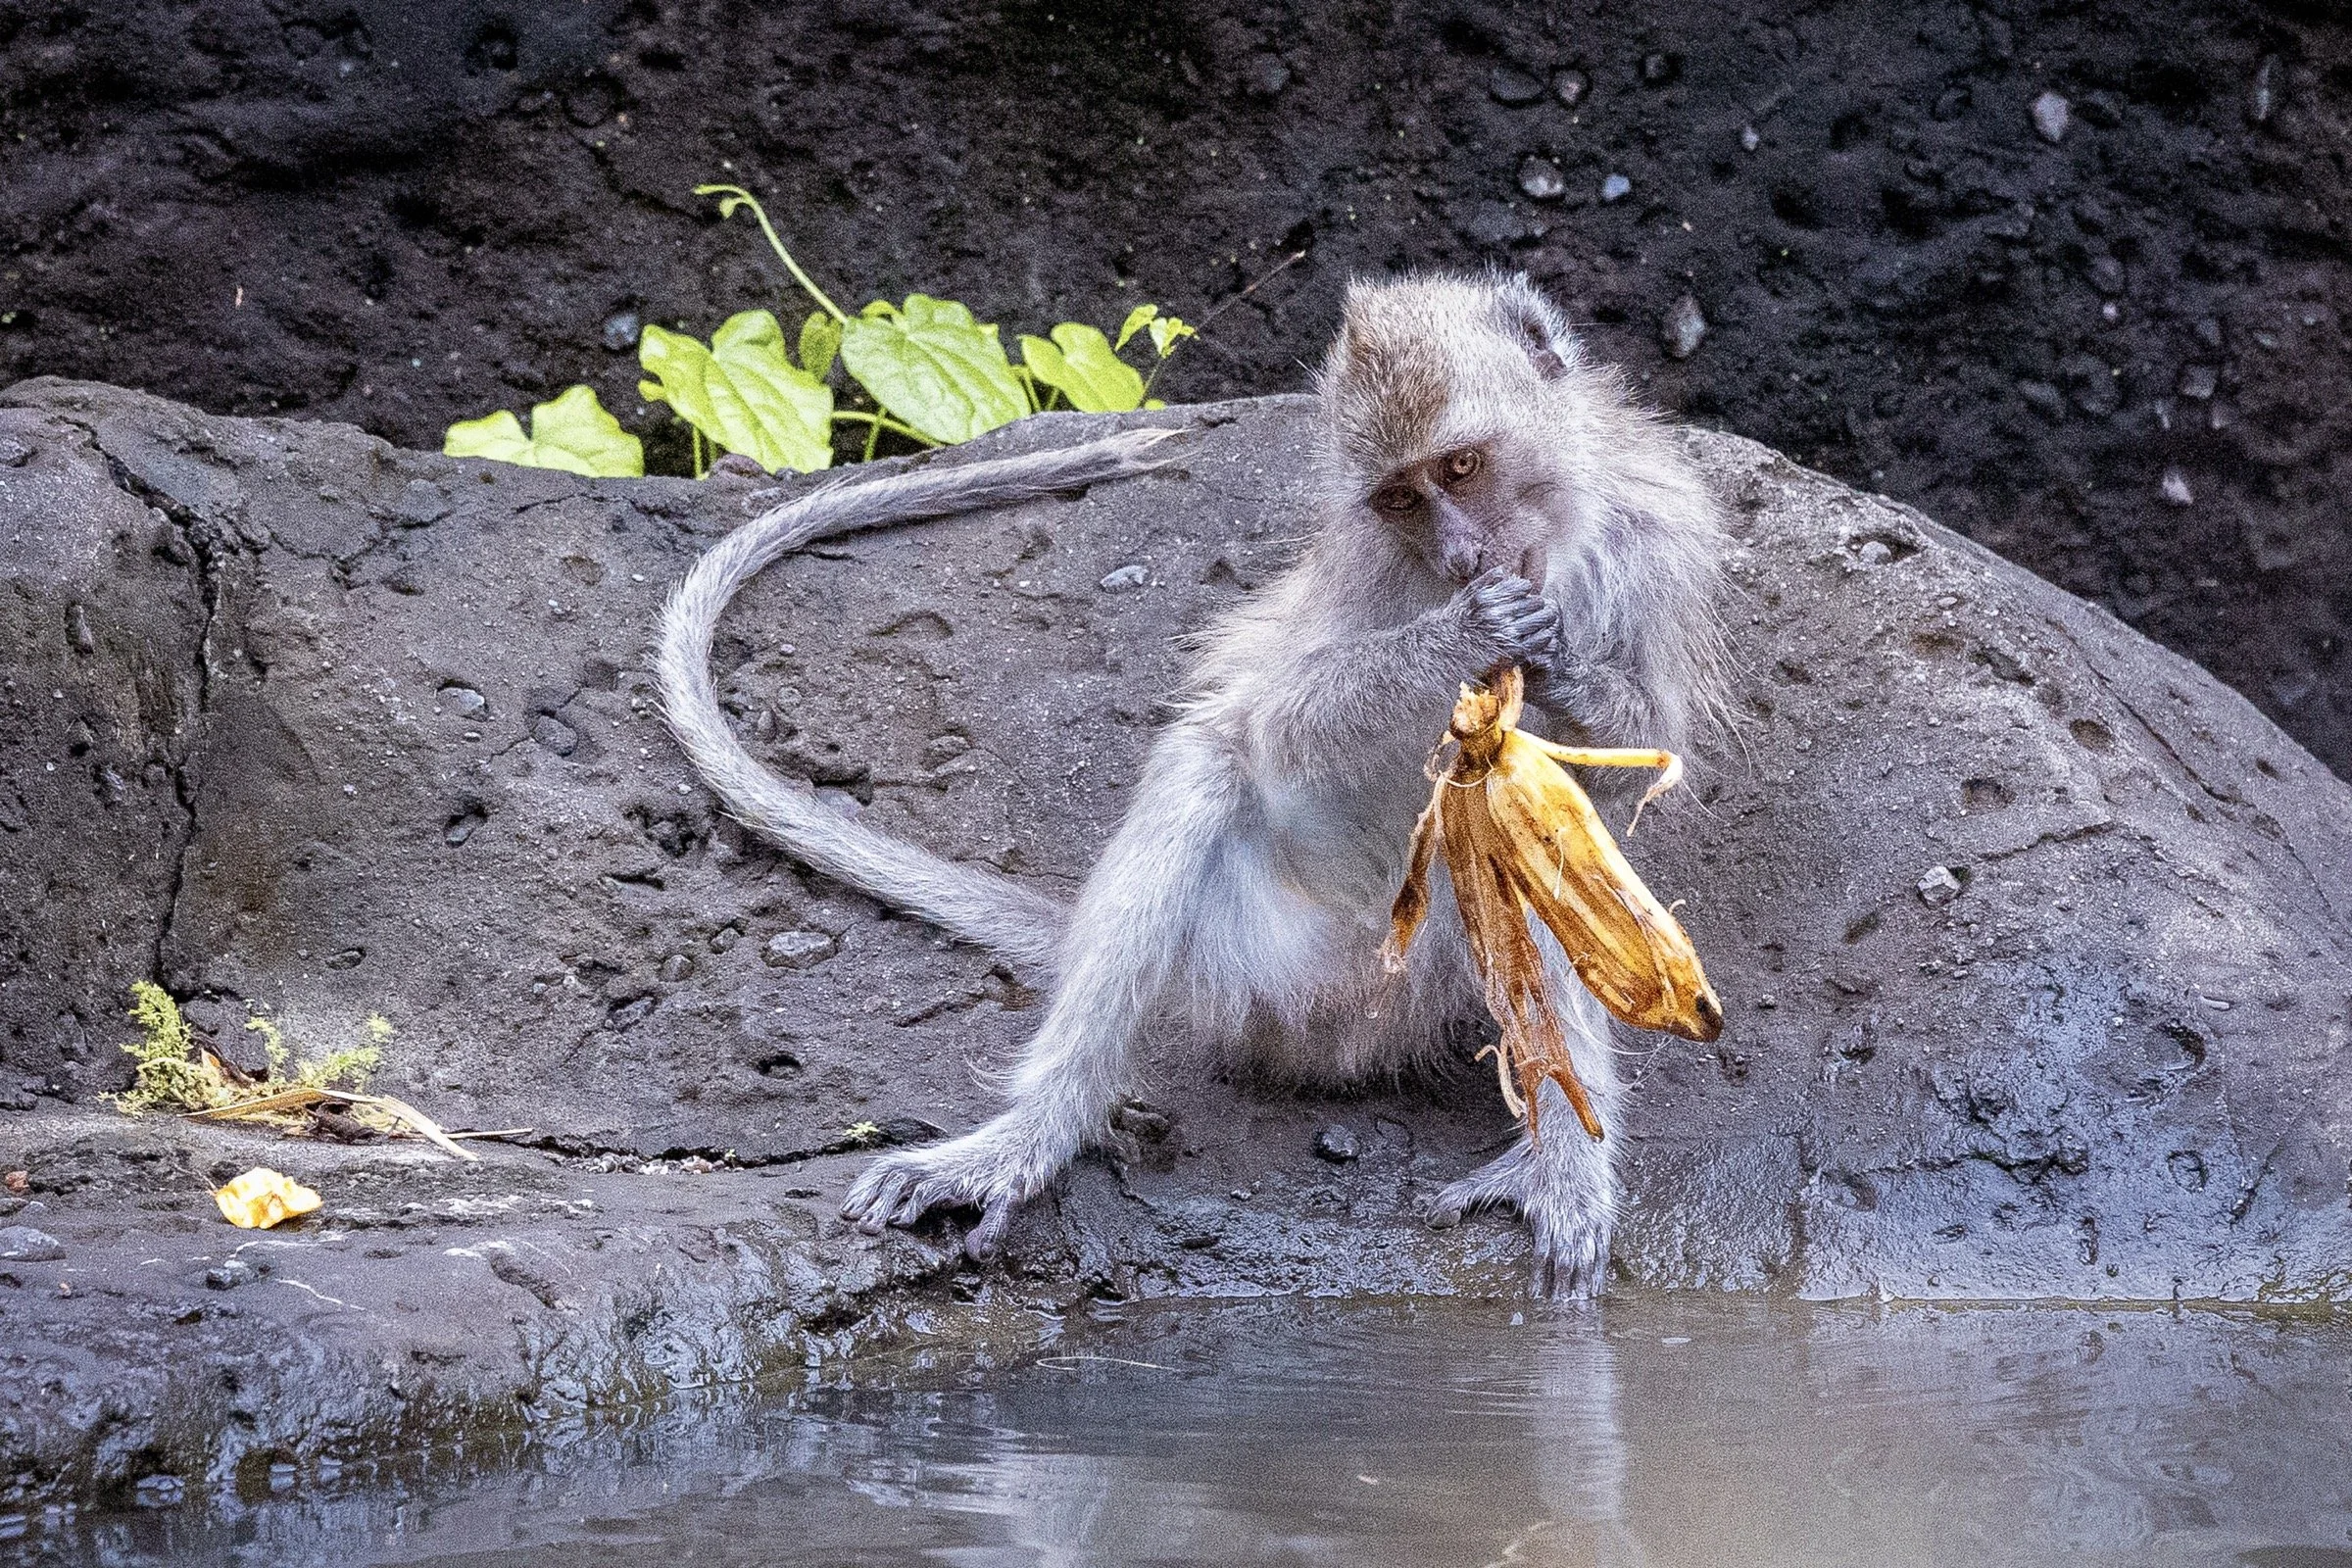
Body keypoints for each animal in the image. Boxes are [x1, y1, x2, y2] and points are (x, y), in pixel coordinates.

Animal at [656, 273, 1725, 1297]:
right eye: (1399, 500)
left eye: (1461, 467)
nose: (1463, 557)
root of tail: (1346, 1025)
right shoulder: (1371, 567)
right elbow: (1280, 733)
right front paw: (1467, 634)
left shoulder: (1656, 540)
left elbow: (1628, 773)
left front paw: (1563, 670)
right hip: (1257, 967)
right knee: (1208, 764)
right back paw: (1030, 1139)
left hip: (1426, 979)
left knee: (1536, 858)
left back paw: (1562, 1164)